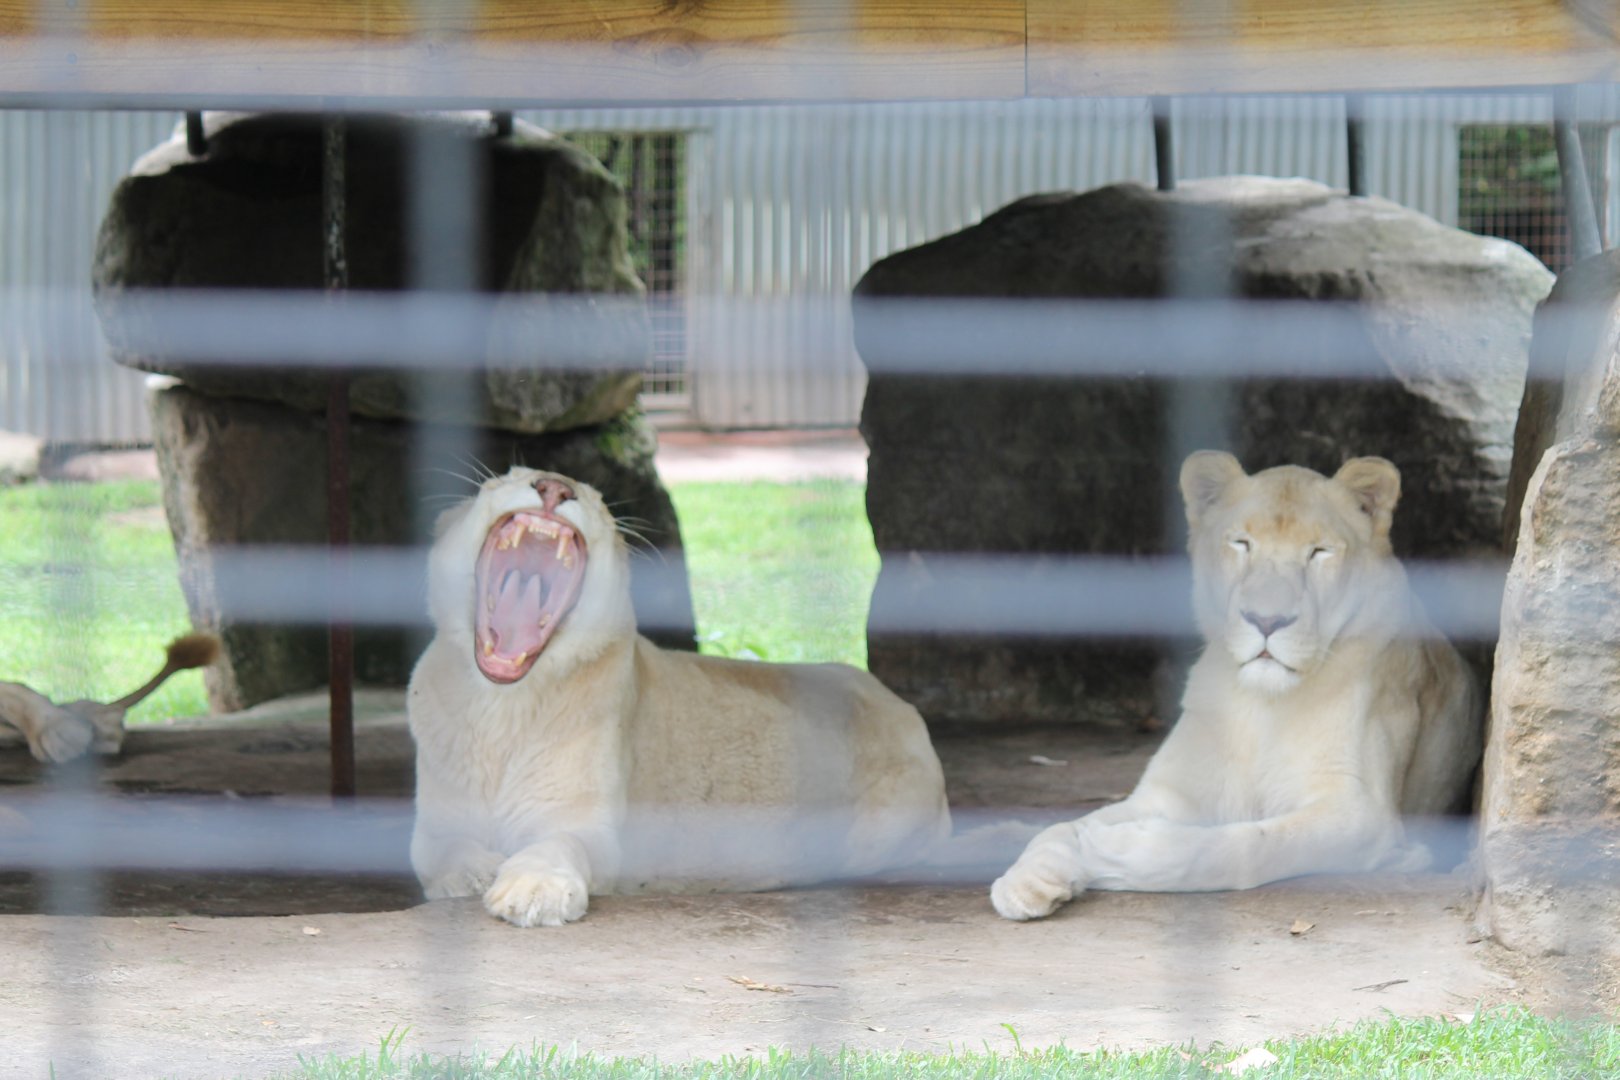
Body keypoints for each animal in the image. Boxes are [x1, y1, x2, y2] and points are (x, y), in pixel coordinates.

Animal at [408, 467, 954, 927]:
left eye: (595, 499)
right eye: (508, 477)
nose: (554, 487)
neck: (501, 707)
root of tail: (905, 709)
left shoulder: (590, 830)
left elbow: (560, 844)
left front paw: (534, 888)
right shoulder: (430, 823)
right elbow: (439, 850)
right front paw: (475, 873)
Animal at [991, 451, 1482, 921]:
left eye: (1319, 552)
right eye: (1242, 543)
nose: (1266, 619)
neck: (1260, 704)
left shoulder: (1361, 811)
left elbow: (1241, 845)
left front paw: (1115, 848)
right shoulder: (1169, 793)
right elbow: (1063, 827)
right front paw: (1027, 879)